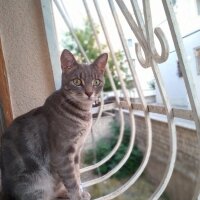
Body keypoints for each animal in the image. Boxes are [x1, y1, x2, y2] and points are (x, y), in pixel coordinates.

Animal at [0, 48, 108, 200]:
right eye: (77, 81)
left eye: (96, 82)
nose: (89, 93)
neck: (83, 114)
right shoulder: (63, 154)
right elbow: (71, 180)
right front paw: (77, 196)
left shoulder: (76, 152)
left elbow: (77, 175)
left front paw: (81, 193)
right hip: (36, 183)